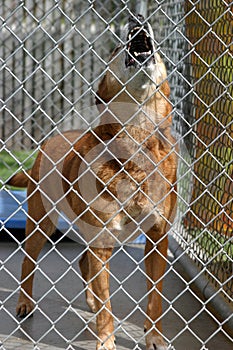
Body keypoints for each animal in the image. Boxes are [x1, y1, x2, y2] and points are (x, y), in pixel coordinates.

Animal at [8, 15, 177, 350]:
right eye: (113, 49)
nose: (137, 19)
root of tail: (47, 143)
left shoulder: (157, 237)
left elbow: (155, 297)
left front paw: (154, 337)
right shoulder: (103, 239)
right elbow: (107, 303)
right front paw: (106, 341)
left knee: (84, 263)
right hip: (42, 222)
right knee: (28, 263)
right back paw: (24, 304)